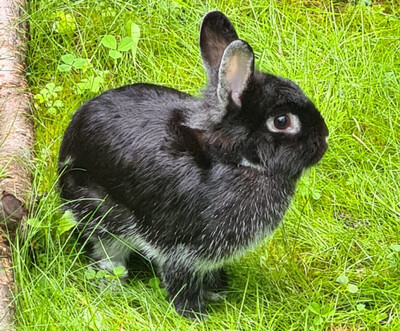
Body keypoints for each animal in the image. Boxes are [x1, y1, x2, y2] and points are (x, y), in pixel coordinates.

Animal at [58, 11, 328, 320]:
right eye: (282, 121)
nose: (324, 139)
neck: (232, 159)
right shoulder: (181, 249)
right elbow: (180, 279)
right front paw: (194, 313)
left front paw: (217, 289)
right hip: (101, 213)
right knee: (106, 253)